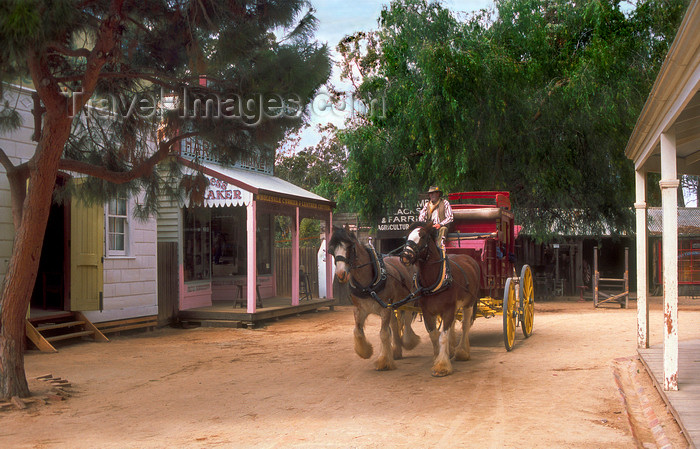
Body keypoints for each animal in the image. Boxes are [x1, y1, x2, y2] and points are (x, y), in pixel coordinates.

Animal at [330, 226, 422, 370]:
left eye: (350, 247)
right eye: (332, 249)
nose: (340, 274)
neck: (368, 286)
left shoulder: (385, 309)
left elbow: (383, 334)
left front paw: (383, 361)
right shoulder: (360, 309)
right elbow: (357, 331)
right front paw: (365, 351)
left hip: (408, 300)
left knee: (406, 321)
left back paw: (408, 342)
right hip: (394, 305)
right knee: (395, 324)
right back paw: (397, 351)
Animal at [400, 220, 482, 374]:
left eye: (423, 236)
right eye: (407, 236)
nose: (405, 256)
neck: (435, 280)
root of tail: (469, 259)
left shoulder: (448, 309)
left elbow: (443, 336)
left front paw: (442, 366)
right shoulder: (427, 311)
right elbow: (434, 335)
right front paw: (438, 357)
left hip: (468, 304)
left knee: (465, 326)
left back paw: (462, 352)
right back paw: (451, 350)